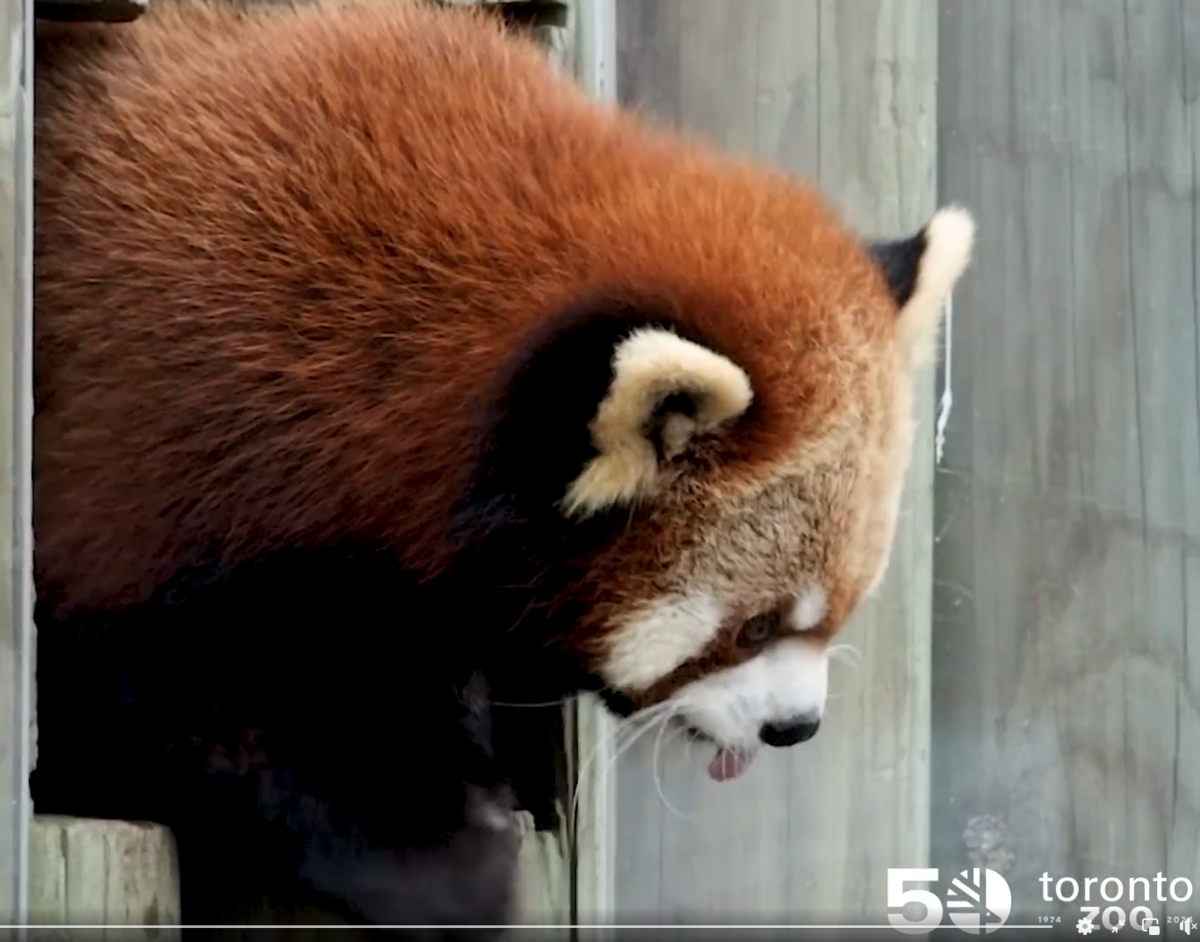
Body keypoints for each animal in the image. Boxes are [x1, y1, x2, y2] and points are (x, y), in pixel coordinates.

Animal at [30, 0, 975, 931]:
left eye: (841, 611)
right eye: (754, 627)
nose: (795, 728)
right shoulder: (162, 451)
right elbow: (189, 683)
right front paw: (442, 856)